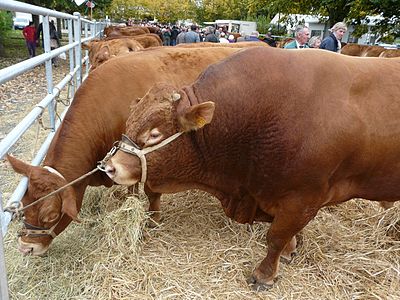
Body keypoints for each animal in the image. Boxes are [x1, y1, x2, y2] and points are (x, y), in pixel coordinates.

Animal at [105, 47, 400, 290]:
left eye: (154, 134)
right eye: (130, 122)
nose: (109, 167)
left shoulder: (303, 198)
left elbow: (276, 237)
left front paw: (264, 275)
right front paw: (291, 250)